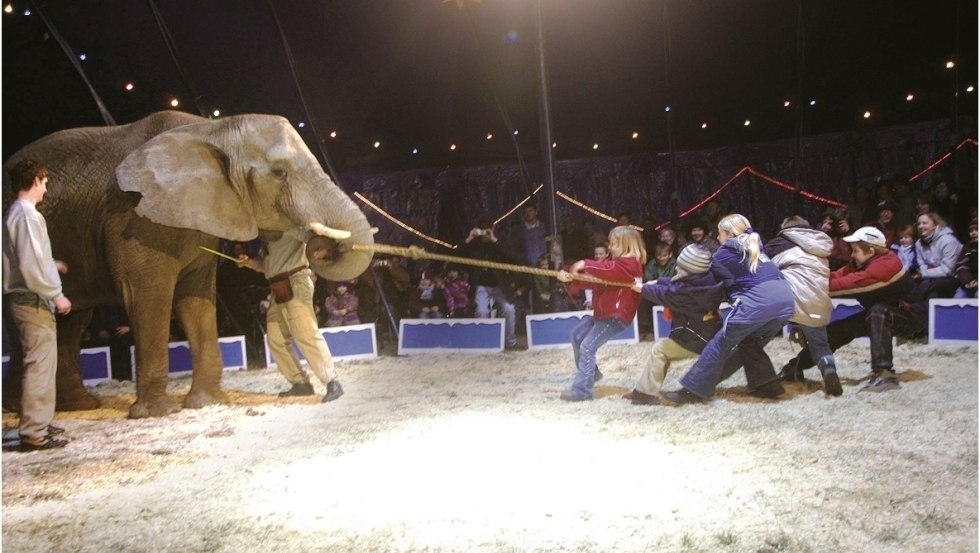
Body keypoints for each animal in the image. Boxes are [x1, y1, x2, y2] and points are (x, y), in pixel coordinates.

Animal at [0, 110, 376, 416]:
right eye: (280, 173)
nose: (319, 246)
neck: (211, 129)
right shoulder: (130, 218)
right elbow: (147, 297)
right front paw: (158, 413)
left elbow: (197, 299)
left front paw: (208, 402)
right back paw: (25, 411)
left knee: (72, 320)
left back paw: (74, 406)